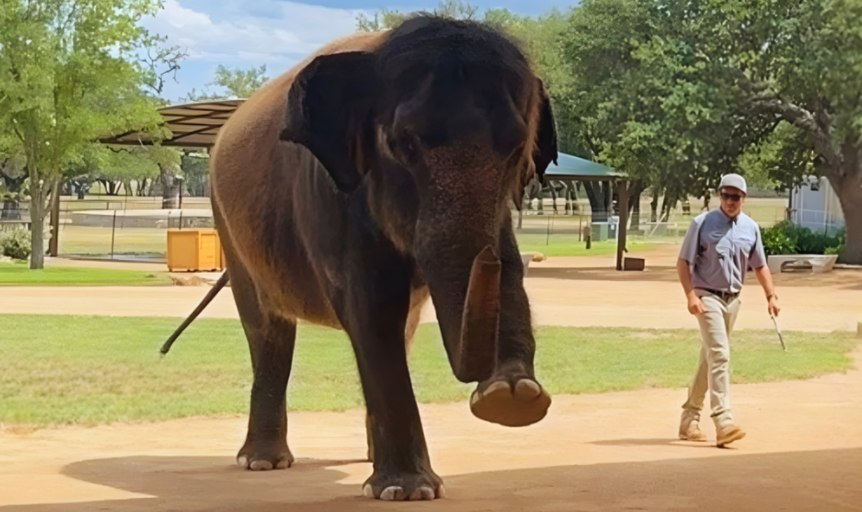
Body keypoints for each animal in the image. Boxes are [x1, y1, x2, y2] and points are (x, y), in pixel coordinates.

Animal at [206, 16, 557, 501]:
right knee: (267, 331)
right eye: (403, 144)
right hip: (229, 228)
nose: (489, 387)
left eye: (515, 149)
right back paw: (263, 462)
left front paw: (514, 397)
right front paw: (407, 490)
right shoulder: (335, 200)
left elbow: (505, 278)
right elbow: (371, 311)